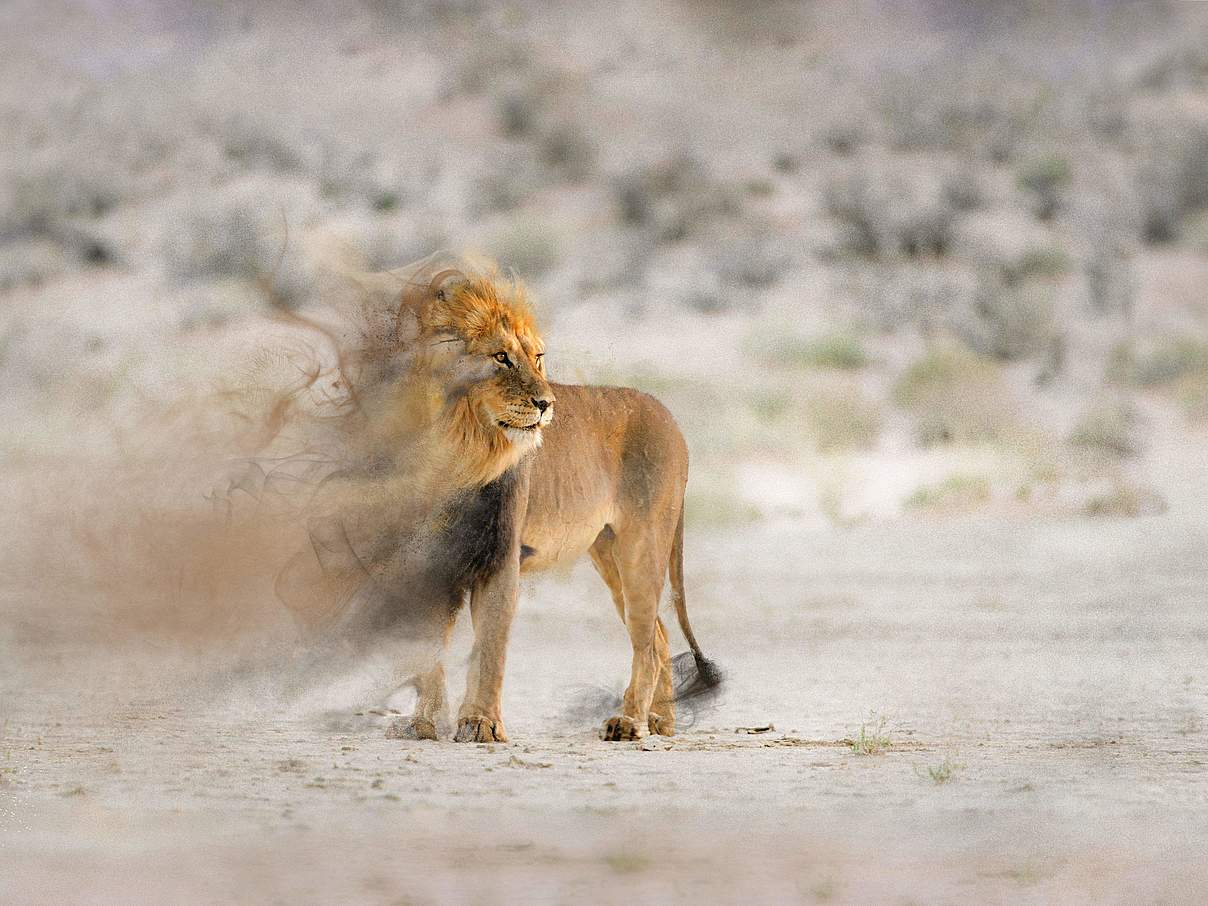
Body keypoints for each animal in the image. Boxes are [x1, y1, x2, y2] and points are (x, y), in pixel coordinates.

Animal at [279, 260, 720, 742]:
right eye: (501, 357)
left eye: (538, 358)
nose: (546, 403)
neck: (457, 448)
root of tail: (669, 415)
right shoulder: (431, 558)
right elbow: (429, 646)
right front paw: (425, 722)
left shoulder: (500, 555)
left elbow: (489, 646)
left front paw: (481, 724)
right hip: (607, 551)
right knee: (659, 634)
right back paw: (660, 721)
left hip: (642, 544)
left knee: (646, 638)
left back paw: (630, 721)